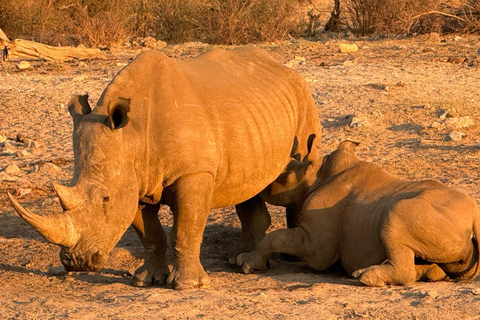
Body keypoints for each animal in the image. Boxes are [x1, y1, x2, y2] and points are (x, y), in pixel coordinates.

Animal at [237, 141, 480, 286]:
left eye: (282, 176)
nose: (259, 181)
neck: (319, 174)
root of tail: (474, 215)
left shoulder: (316, 247)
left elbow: (276, 238)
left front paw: (246, 264)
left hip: (424, 214)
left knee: (394, 214)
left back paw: (364, 276)